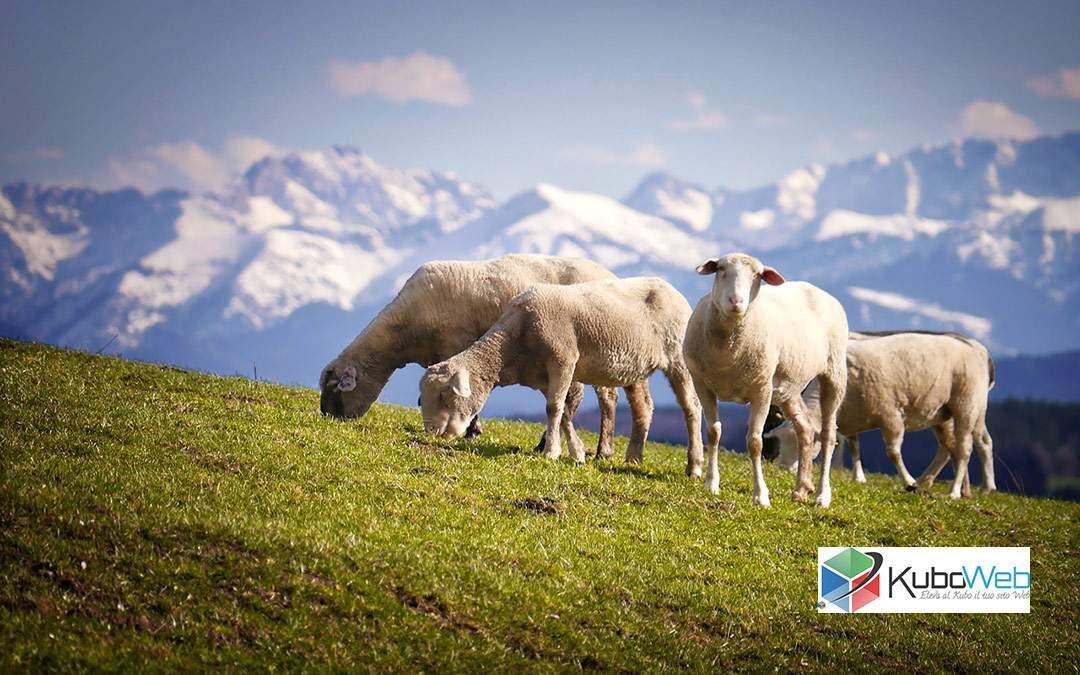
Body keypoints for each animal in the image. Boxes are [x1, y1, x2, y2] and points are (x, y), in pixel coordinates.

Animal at [319, 254, 647, 458]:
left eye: (336, 389)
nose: (328, 418)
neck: (403, 332)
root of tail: (611, 275)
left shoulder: (456, 344)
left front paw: (472, 430)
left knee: (605, 399)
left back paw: (601, 449)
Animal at [418, 277, 704, 472]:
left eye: (445, 396)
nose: (432, 431)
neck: (513, 345)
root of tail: (672, 290)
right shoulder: (543, 375)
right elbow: (563, 410)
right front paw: (576, 453)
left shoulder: (563, 361)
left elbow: (554, 408)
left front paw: (551, 452)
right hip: (635, 366)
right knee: (643, 407)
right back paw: (634, 457)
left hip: (678, 358)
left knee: (692, 408)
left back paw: (695, 466)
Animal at [683, 253, 848, 508]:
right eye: (720, 269)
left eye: (757, 275)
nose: (736, 301)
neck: (727, 353)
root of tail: (818, 290)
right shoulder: (702, 385)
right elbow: (713, 433)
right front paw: (711, 484)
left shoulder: (761, 390)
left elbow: (755, 442)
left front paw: (761, 495)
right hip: (788, 388)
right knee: (805, 429)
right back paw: (801, 489)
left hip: (834, 373)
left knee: (828, 435)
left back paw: (823, 495)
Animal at [762, 330, 996, 499]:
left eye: (807, 442)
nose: (783, 468)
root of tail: (975, 348)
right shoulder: (848, 419)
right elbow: (854, 446)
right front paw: (861, 477)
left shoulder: (890, 414)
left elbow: (893, 452)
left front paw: (908, 481)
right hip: (942, 413)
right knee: (949, 447)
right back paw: (939, 484)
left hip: (967, 405)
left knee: (966, 448)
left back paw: (956, 491)